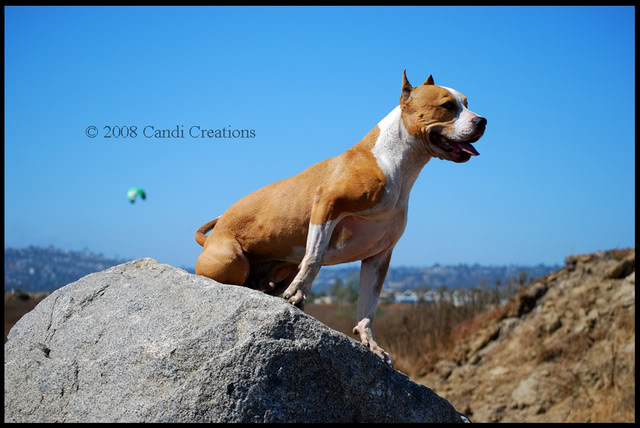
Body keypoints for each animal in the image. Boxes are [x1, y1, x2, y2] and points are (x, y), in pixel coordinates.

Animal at [194, 70, 484, 364]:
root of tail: (213, 232)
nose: (482, 121)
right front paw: (298, 293)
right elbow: (314, 257)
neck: (393, 163)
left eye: (467, 103)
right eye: (447, 105)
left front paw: (371, 343)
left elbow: (369, 305)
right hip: (232, 260)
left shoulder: (379, 255)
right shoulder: (326, 205)